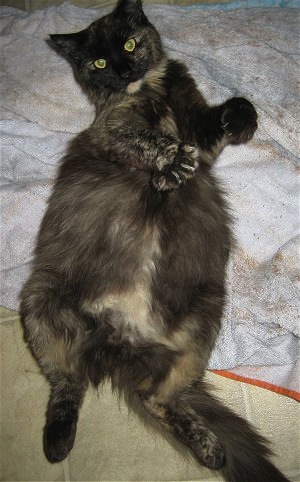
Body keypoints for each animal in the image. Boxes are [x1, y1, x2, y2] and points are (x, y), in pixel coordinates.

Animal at [19, 1, 290, 480]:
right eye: (98, 63)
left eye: (129, 44)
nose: (123, 68)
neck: (148, 89)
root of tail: (122, 340)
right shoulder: (112, 126)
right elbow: (146, 139)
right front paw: (170, 165)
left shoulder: (202, 135)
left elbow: (222, 117)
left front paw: (240, 119)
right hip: (39, 301)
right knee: (67, 382)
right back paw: (57, 441)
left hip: (202, 325)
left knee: (158, 399)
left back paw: (210, 449)